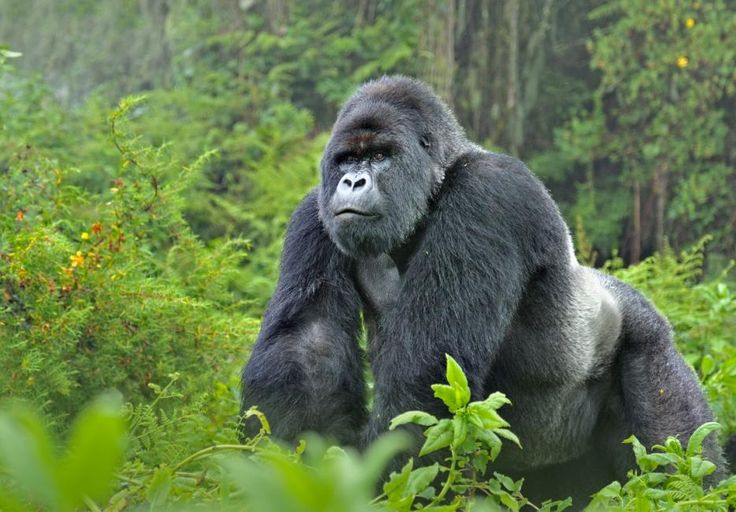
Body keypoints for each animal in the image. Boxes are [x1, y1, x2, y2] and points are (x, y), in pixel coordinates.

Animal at [240, 76, 724, 500]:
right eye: (346, 160)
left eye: (379, 156)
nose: (353, 182)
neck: (435, 186)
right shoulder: (314, 212)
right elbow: (308, 346)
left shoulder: (487, 194)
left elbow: (428, 371)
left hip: (648, 343)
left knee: (677, 451)